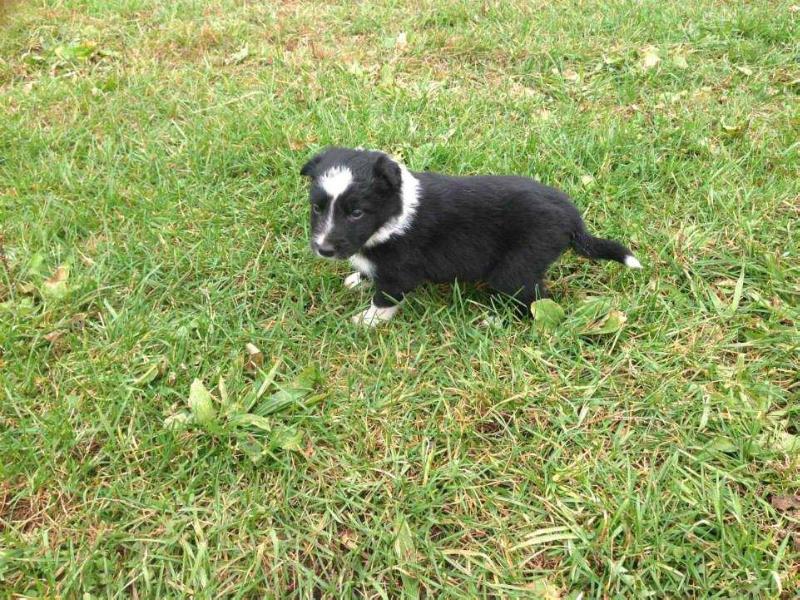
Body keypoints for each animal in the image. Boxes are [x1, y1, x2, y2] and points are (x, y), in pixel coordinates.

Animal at [302, 147, 644, 326]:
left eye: (357, 213)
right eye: (317, 208)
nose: (324, 249)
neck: (391, 215)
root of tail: (572, 218)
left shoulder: (400, 272)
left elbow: (385, 297)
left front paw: (367, 321)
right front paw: (357, 279)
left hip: (515, 269)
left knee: (534, 300)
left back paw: (497, 321)